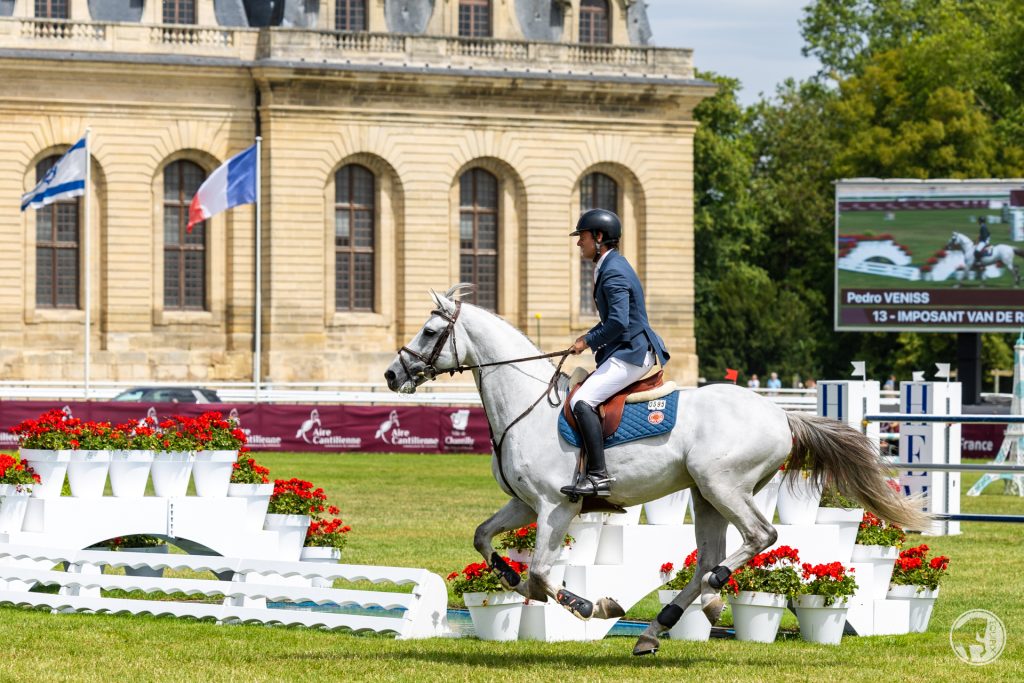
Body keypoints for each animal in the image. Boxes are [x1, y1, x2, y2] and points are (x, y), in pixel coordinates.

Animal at [385, 284, 929, 655]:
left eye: (430, 331)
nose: (392, 375)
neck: (527, 406)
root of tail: (781, 414)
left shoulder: (556, 506)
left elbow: (539, 574)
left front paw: (590, 606)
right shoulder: (524, 503)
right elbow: (486, 542)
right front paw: (516, 582)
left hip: (722, 486)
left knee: (757, 538)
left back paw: (707, 597)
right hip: (706, 497)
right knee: (710, 556)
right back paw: (659, 626)